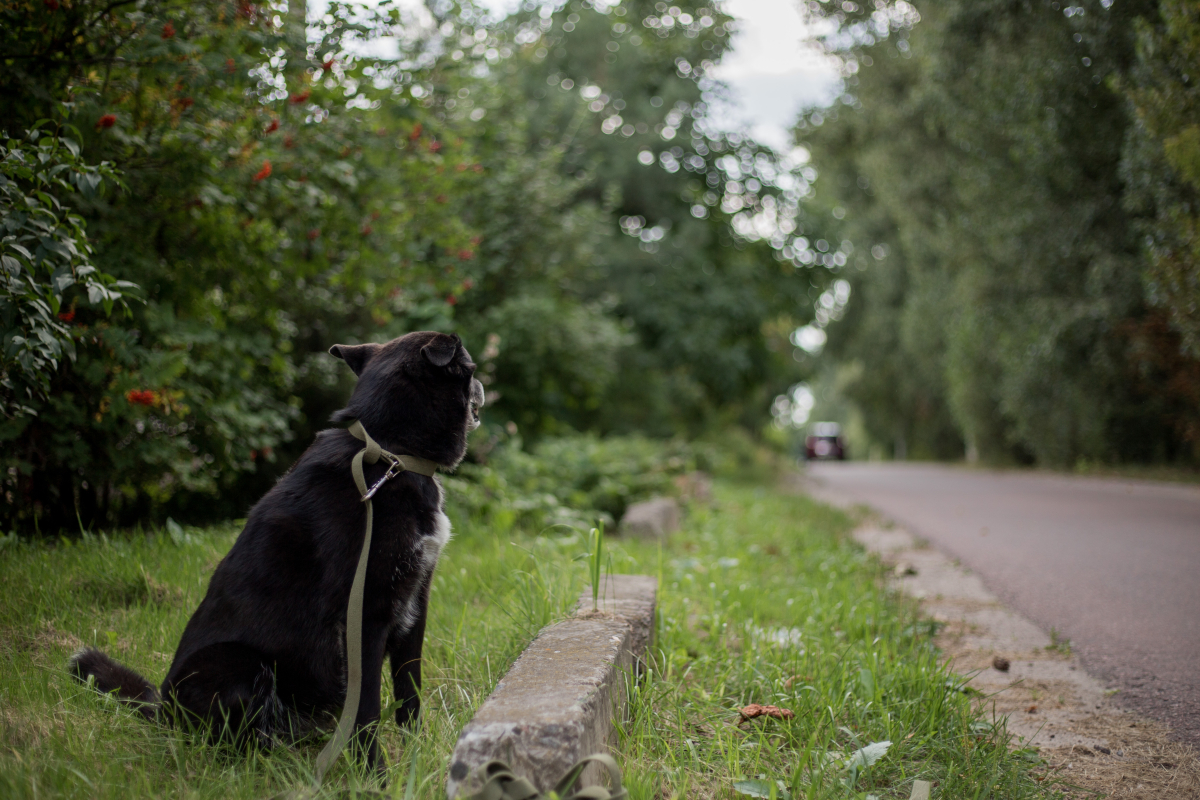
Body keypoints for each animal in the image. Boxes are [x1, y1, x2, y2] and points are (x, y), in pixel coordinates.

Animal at [70, 328, 480, 772]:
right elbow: (368, 708)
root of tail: (164, 712)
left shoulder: (414, 604)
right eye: (471, 368)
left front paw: (415, 756)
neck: (388, 452)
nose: (482, 386)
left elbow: (410, 692)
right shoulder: (366, 617)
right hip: (240, 665)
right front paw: (375, 774)